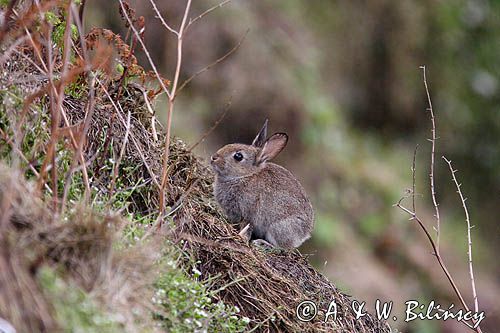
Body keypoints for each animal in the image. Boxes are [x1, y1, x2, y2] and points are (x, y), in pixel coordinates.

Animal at [210, 120, 312, 249]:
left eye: (238, 156)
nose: (213, 158)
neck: (245, 176)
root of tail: (305, 234)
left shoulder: (248, 212)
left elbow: (247, 224)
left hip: (278, 228)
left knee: (281, 247)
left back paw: (261, 243)